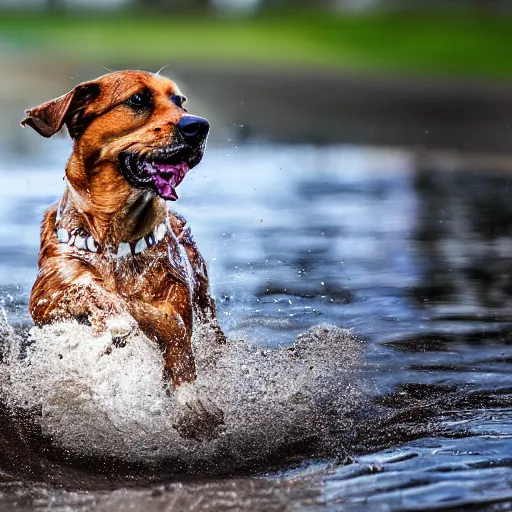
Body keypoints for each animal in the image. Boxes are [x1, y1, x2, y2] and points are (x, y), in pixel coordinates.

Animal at [21, 70, 226, 440]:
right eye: (138, 99)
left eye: (179, 101)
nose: (199, 125)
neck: (117, 240)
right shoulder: (45, 297)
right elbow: (93, 290)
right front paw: (119, 319)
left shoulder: (176, 300)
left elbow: (178, 342)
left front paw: (191, 405)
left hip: (207, 309)